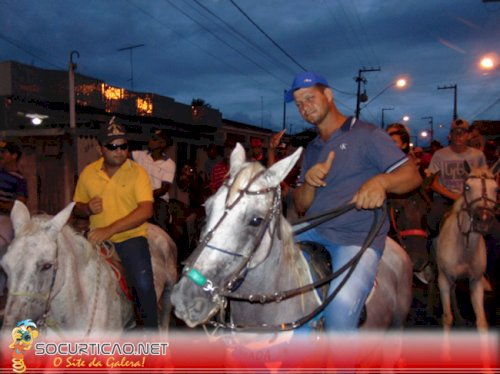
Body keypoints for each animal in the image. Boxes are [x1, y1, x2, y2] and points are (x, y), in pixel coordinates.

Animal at [436, 159, 498, 332]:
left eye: (496, 188)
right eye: (467, 187)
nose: (483, 219)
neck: (464, 249)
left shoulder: (476, 282)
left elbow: (481, 321)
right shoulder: (443, 280)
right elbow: (447, 318)